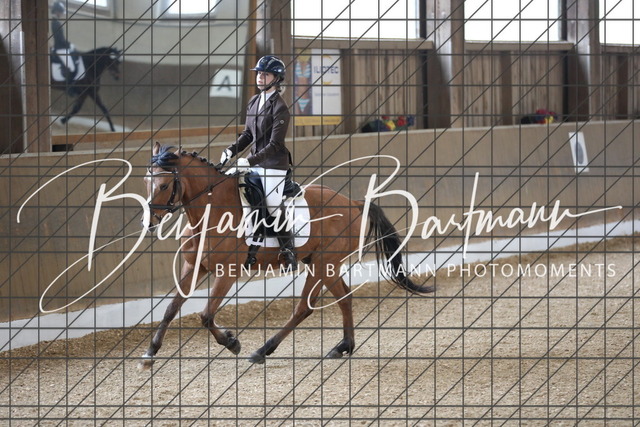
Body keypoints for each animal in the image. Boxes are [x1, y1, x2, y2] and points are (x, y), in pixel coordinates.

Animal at [138, 142, 434, 369]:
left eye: (163, 185)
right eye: (146, 182)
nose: (149, 222)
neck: (211, 212)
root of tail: (353, 203)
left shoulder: (227, 272)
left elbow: (206, 315)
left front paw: (232, 342)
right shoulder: (194, 266)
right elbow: (171, 308)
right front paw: (150, 353)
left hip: (322, 264)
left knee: (304, 307)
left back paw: (262, 351)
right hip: (323, 264)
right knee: (344, 298)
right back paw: (343, 346)